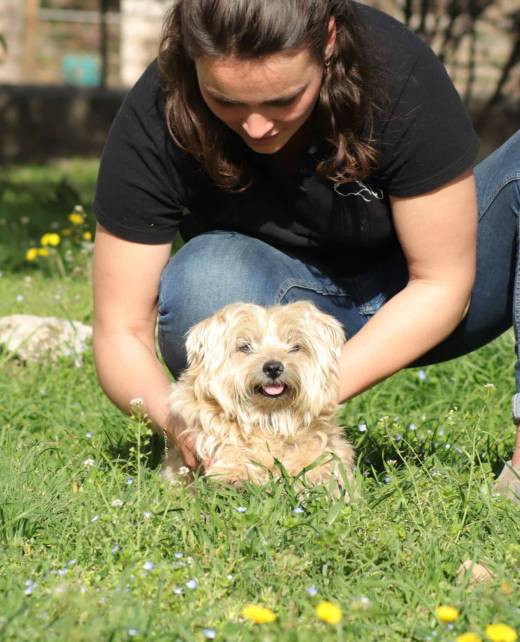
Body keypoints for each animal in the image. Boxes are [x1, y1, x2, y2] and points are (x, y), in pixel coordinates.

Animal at [162, 302, 356, 500]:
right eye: (245, 347)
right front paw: (233, 474)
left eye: (295, 347)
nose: (273, 367)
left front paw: (311, 478)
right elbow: (227, 443)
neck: (269, 416)